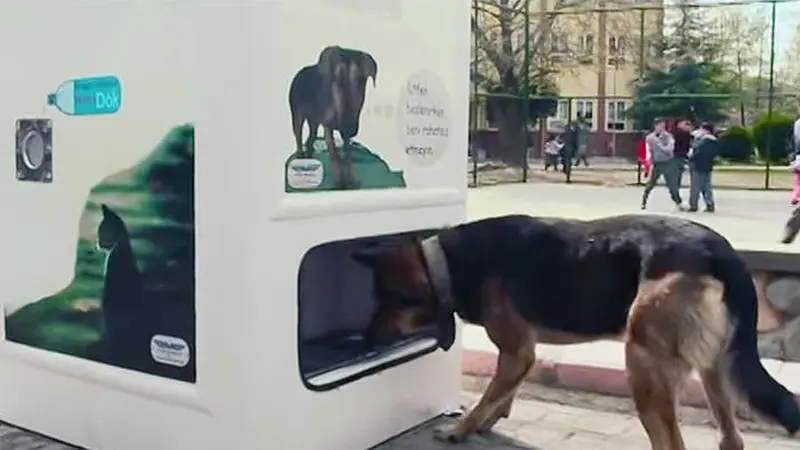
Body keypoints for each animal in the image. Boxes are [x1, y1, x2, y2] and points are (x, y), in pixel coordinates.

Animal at [354, 214, 796, 446]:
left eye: (388, 301)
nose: (366, 341)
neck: (446, 263)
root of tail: (719, 252)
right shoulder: (521, 354)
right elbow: (502, 394)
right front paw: (488, 423)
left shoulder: (517, 351)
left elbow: (486, 397)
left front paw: (461, 429)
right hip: (715, 370)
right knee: (730, 436)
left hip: (643, 367)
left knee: (670, 441)